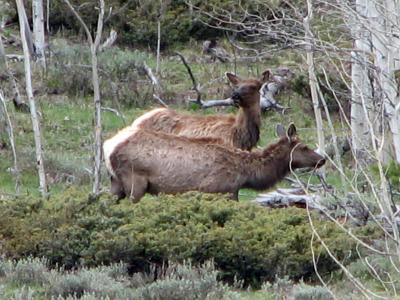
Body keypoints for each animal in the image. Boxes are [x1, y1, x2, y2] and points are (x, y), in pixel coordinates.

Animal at [102, 123, 324, 203]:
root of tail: (108, 146)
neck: (246, 174)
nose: (322, 159)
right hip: (134, 180)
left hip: (115, 182)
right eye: (304, 146)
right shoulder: (219, 189)